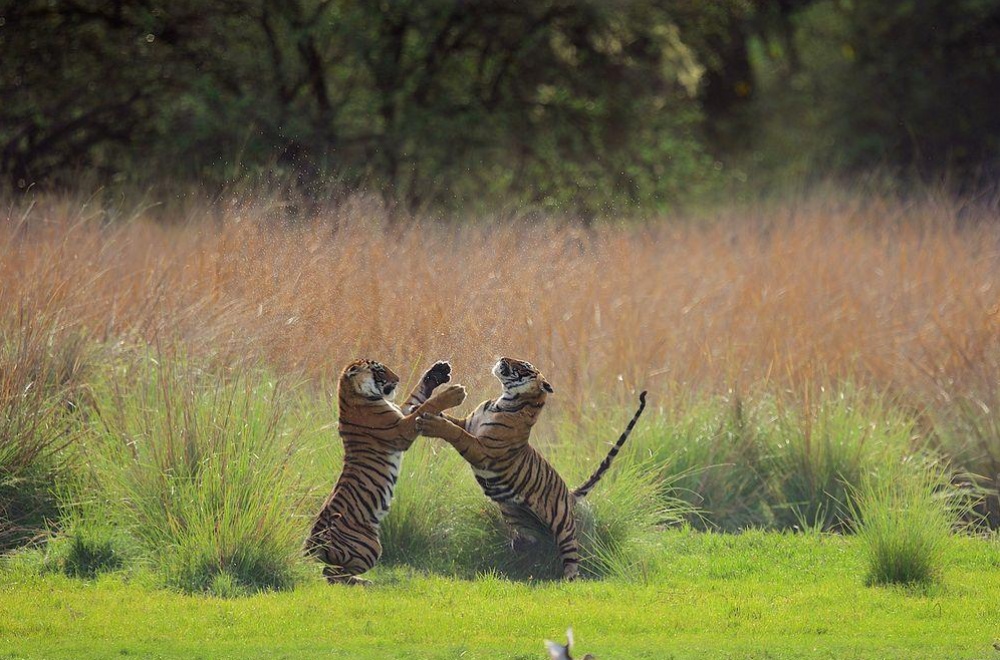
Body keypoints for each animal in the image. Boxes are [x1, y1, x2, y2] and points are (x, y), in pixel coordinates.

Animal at [304, 360, 464, 584]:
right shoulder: (400, 430)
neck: (352, 395)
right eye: (379, 371)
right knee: (331, 575)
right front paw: (453, 394)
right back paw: (364, 583)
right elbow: (425, 406)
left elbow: (416, 396)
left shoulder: (400, 412)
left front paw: (437, 372)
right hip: (370, 547)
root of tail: (313, 542)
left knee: (331, 573)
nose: (397, 379)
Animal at [414, 358, 648, 580]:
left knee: (572, 560)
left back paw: (567, 581)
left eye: (524, 365)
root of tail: (570, 494)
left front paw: (431, 424)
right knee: (532, 542)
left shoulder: (482, 450)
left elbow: (456, 433)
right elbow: (451, 420)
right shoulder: (468, 423)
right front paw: (426, 405)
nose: (503, 357)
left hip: (564, 528)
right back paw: (519, 550)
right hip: (518, 517)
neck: (502, 401)